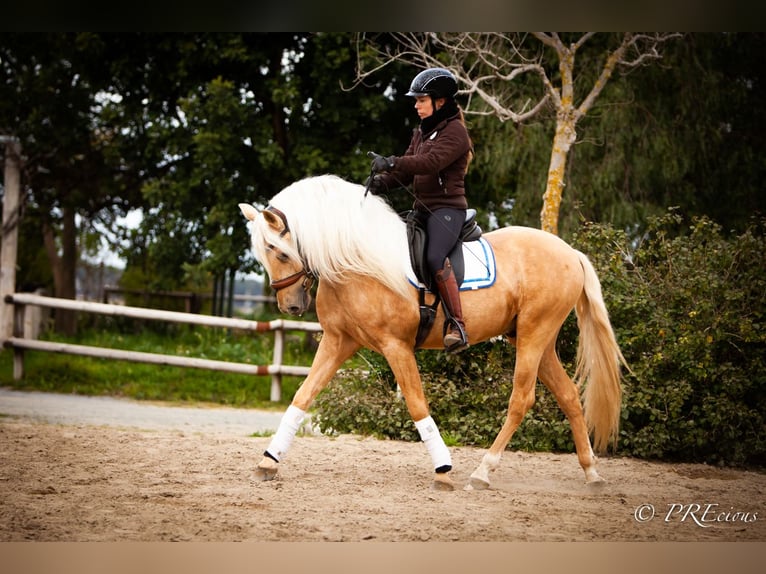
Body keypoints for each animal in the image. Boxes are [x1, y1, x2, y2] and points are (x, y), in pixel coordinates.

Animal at [240, 174, 632, 490]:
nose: (290, 306)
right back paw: (591, 473)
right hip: (535, 339)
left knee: (522, 400)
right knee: (569, 396)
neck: (356, 261)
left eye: (279, 251)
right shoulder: (339, 342)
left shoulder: (395, 346)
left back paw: (483, 472)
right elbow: (301, 397)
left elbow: (417, 405)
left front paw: (443, 469)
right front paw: (268, 461)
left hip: (535, 336)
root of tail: (570, 252)